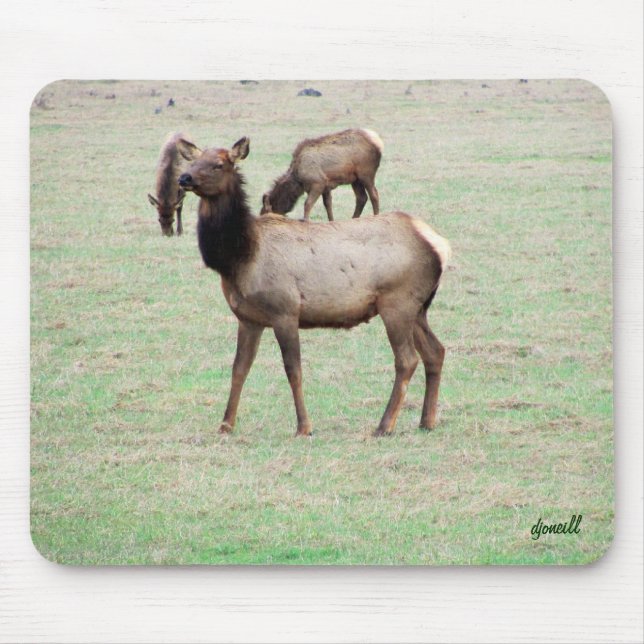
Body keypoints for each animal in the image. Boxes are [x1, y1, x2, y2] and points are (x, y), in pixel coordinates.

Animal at [177, 136, 451, 437]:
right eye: (193, 160)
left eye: (219, 164)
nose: (184, 178)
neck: (240, 258)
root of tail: (439, 246)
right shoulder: (248, 318)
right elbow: (239, 368)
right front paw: (226, 424)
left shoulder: (285, 311)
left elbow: (293, 369)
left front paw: (304, 427)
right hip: (418, 308)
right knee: (436, 351)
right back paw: (427, 421)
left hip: (397, 303)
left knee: (407, 359)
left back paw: (384, 425)